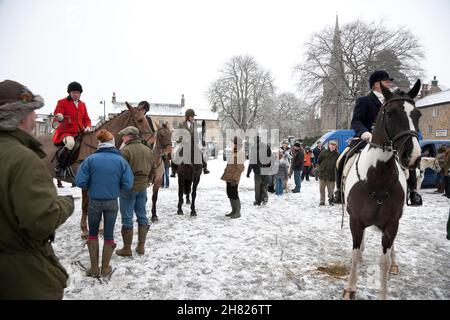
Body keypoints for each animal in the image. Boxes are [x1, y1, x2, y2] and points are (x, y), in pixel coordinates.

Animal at [37, 102, 153, 238]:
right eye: (139, 120)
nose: (152, 143)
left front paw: (101, 229)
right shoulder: (85, 184)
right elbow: (85, 205)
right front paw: (84, 230)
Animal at [342, 80, 424, 300]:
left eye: (418, 115)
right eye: (390, 113)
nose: (413, 156)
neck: (378, 178)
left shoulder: (391, 224)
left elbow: (384, 262)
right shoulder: (355, 220)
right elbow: (355, 254)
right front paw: (350, 289)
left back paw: (394, 263)